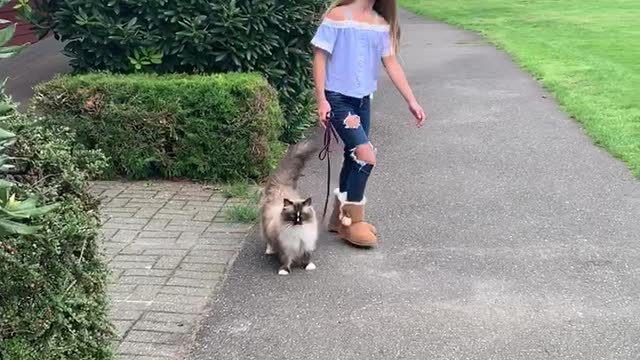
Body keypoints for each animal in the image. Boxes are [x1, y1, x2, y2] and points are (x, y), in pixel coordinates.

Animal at [258, 139, 318, 276]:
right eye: (292, 216)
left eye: (302, 215)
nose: (298, 221)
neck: (298, 232)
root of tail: (281, 185)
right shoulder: (285, 248)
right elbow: (286, 260)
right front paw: (284, 271)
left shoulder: (306, 244)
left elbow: (307, 256)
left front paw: (308, 266)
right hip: (265, 226)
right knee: (267, 239)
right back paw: (270, 250)